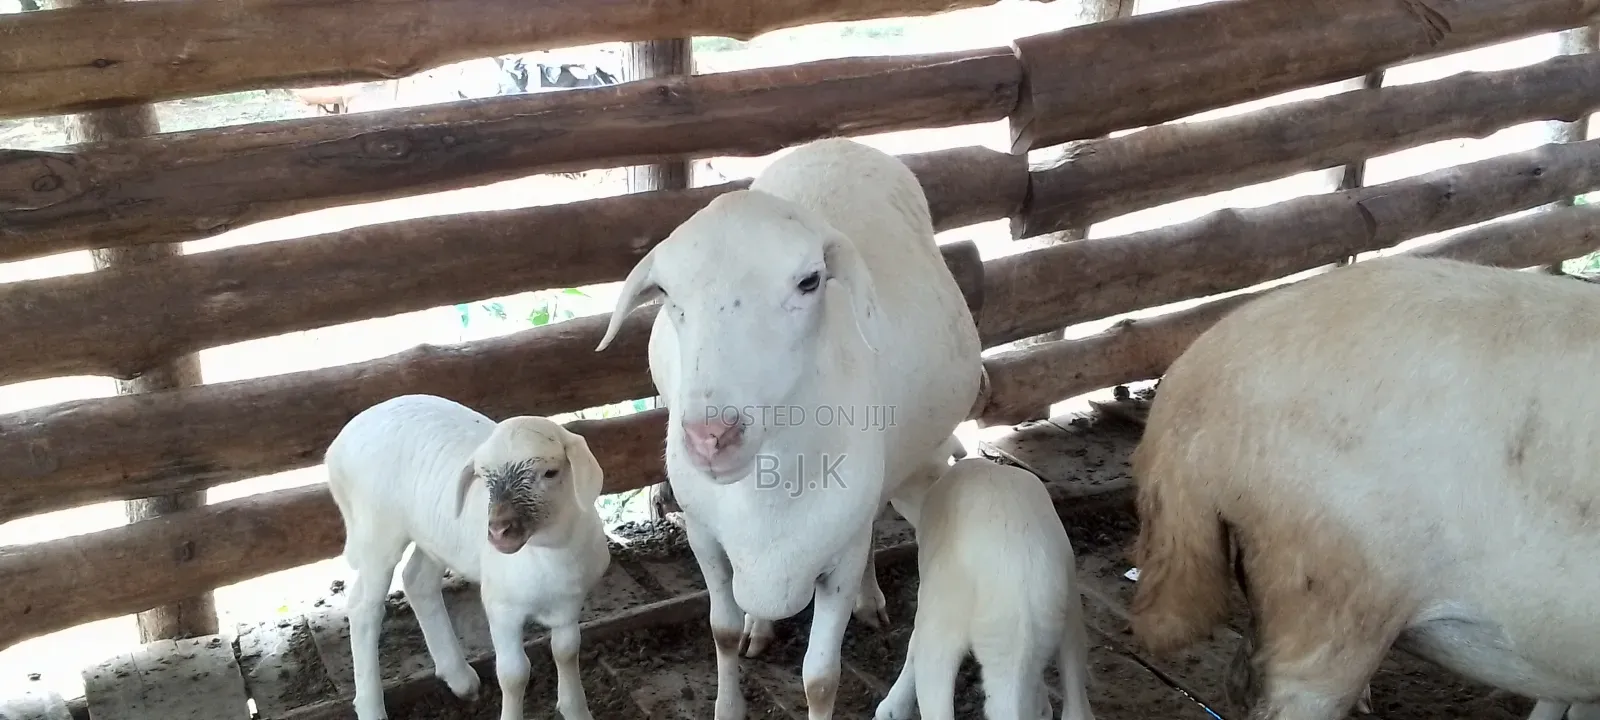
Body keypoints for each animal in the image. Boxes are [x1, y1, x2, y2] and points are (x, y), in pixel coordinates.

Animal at [324, 394, 611, 720]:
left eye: (550, 472)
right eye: (484, 477)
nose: (498, 531)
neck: (549, 552)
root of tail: (336, 449)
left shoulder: (569, 604)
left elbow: (567, 651)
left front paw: (575, 709)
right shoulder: (501, 607)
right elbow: (514, 674)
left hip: (433, 534)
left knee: (417, 581)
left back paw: (459, 677)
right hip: (378, 531)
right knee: (363, 607)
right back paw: (371, 706)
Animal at [594, 137, 984, 720]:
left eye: (809, 281)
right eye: (664, 292)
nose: (711, 437)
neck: (768, 490)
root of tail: (835, 143)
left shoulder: (838, 557)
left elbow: (821, 680)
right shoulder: (703, 535)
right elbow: (721, 630)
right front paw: (729, 703)